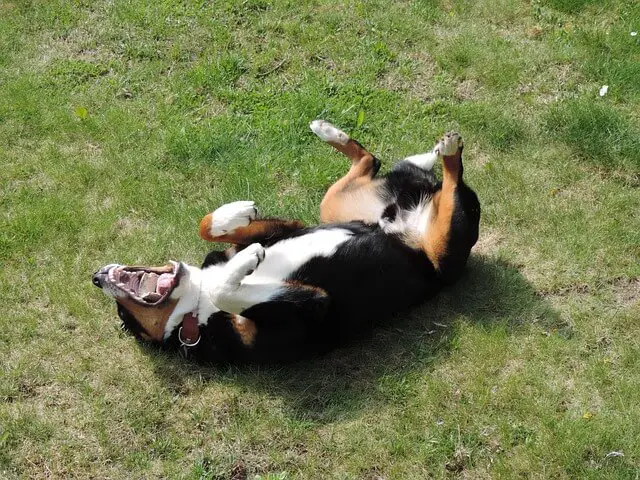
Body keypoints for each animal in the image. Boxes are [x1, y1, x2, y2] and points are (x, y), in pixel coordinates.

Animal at [91, 121, 480, 364]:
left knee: (375, 160)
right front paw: (247, 261)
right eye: (125, 317)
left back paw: (334, 131)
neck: (195, 308)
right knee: (449, 181)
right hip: (445, 252)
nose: (96, 276)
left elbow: (208, 226)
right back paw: (446, 151)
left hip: (332, 204)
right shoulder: (310, 306)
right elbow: (227, 289)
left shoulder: (286, 228)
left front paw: (236, 213)